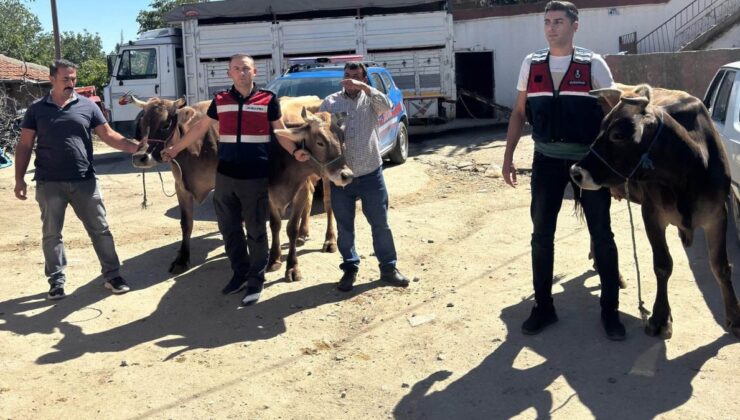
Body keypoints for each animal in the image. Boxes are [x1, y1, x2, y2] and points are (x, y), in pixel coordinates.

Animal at [129, 95, 352, 282]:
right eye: (141, 123)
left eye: (166, 124)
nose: (140, 157)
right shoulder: (181, 187)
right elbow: (186, 224)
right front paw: (182, 259)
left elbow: (283, 225)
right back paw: (304, 233)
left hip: (324, 180)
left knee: (328, 204)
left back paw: (329, 240)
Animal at [572, 84, 740, 338]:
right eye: (601, 128)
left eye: (618, 135)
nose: (576, 172)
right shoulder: (652, 214)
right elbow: (662, 265)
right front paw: (660, 318)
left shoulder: (717, 214)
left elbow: (721, 266)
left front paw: (734, 317)